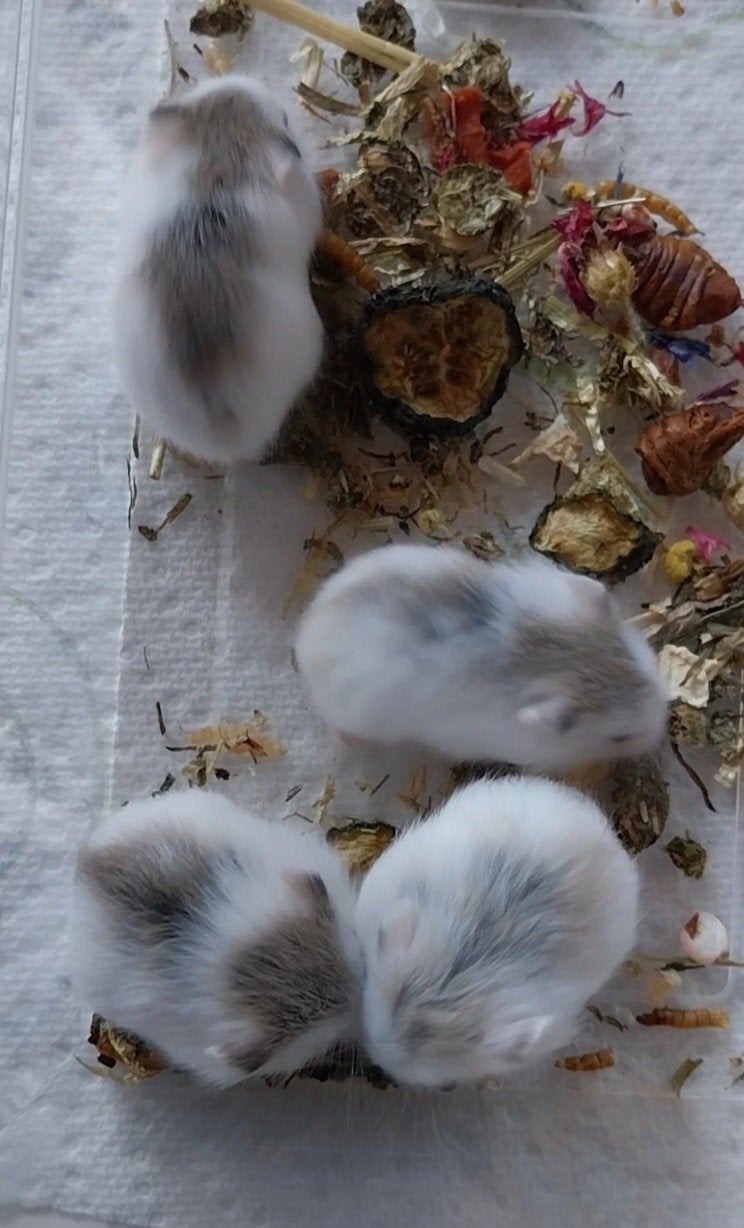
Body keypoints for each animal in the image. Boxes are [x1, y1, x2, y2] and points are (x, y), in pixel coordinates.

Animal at [295, 543, 668, 772]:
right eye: (619, 737)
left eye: (650, 670)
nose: (660, 731)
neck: (552, 653)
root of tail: (307, 632)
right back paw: (352, 742)